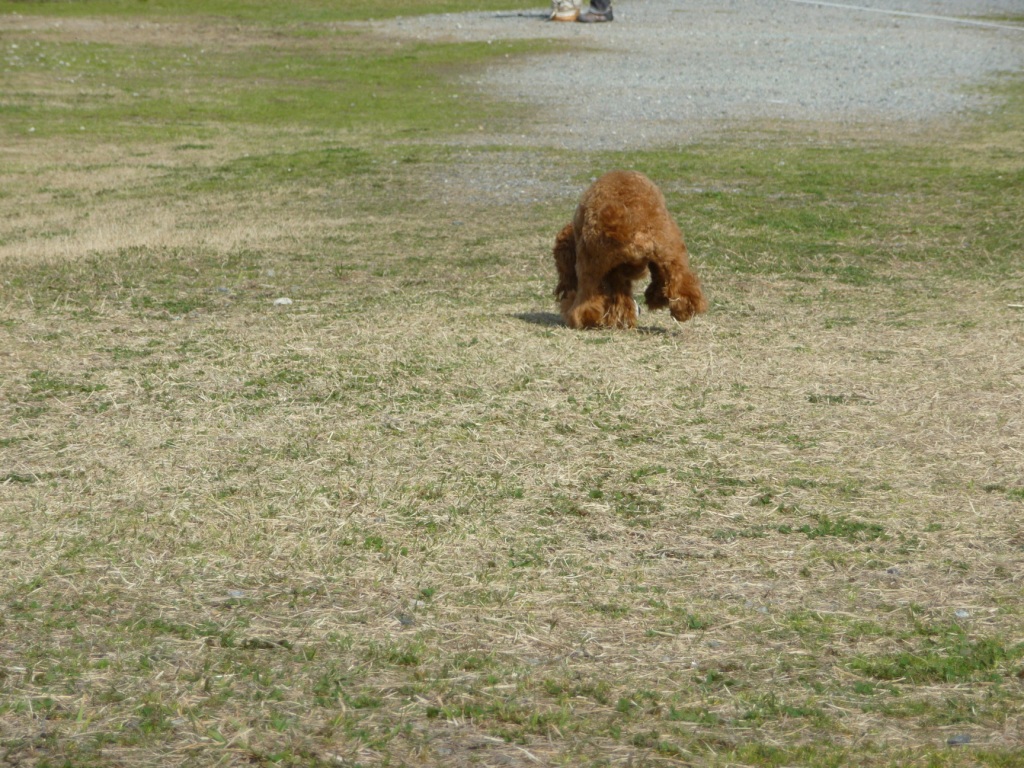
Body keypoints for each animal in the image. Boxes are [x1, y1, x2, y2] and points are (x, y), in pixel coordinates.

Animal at [553, 170, 707, 329]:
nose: (561, 290)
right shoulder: (618, 272)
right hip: (671, 252)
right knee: (683, 286)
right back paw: (683, 309)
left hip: (589, 266)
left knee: (586, 301)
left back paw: (577, 317)